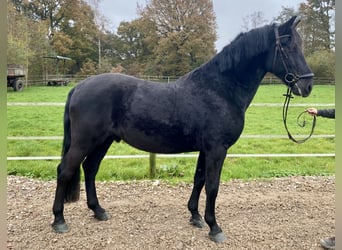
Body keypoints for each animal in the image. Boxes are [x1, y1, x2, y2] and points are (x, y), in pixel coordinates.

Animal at [52, 16, 312, 242]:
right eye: (288, 46)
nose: (308, 85)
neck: (219, 90)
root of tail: (78, 88)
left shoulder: (205, 149)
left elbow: (199, 180)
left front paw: (195, 217)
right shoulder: (217, 149)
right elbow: (213, 187)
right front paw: (215, 228)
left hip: (103, 141)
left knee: (90, 169)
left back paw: (98, 211)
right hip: (84, 142)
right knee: (65, 170)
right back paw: (59, 220)